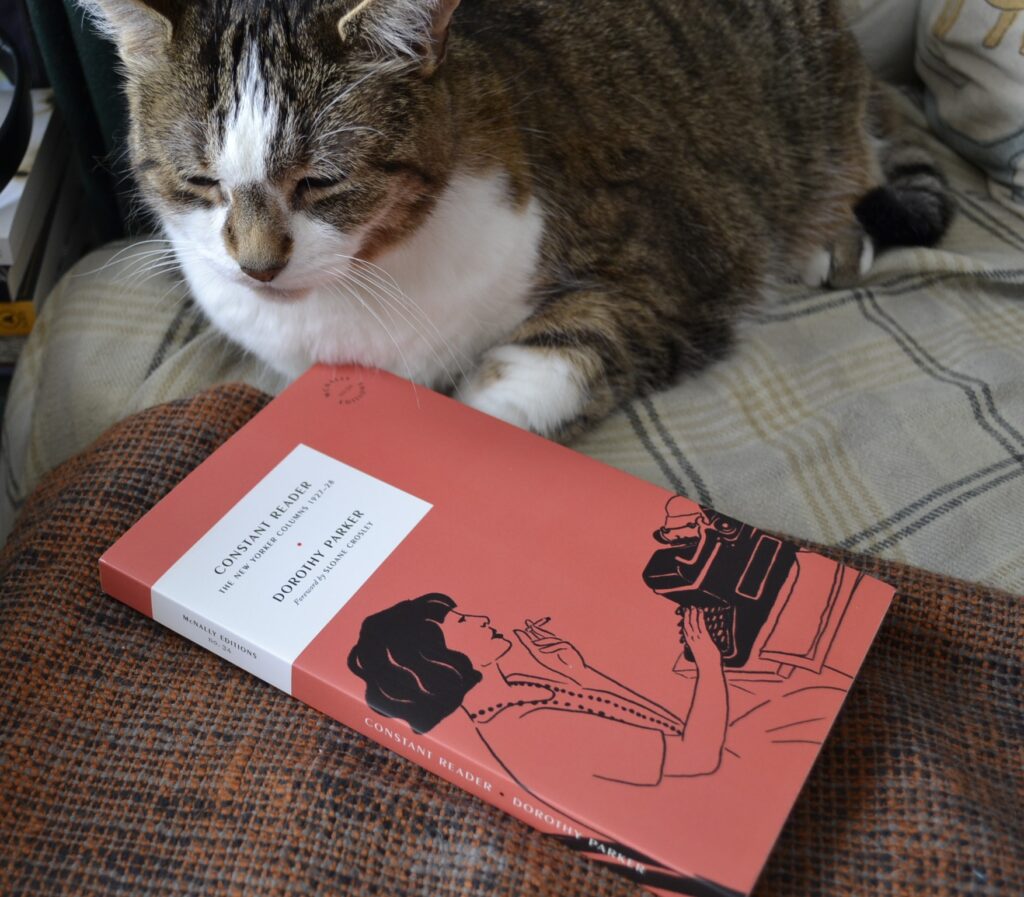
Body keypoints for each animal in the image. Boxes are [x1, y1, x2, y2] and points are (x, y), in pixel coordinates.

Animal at [79, 0, 950, 438]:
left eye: (321, 181)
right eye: (201, 181)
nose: (257, 265)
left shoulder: (669, 260)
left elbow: (545, 365)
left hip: (809, 113)